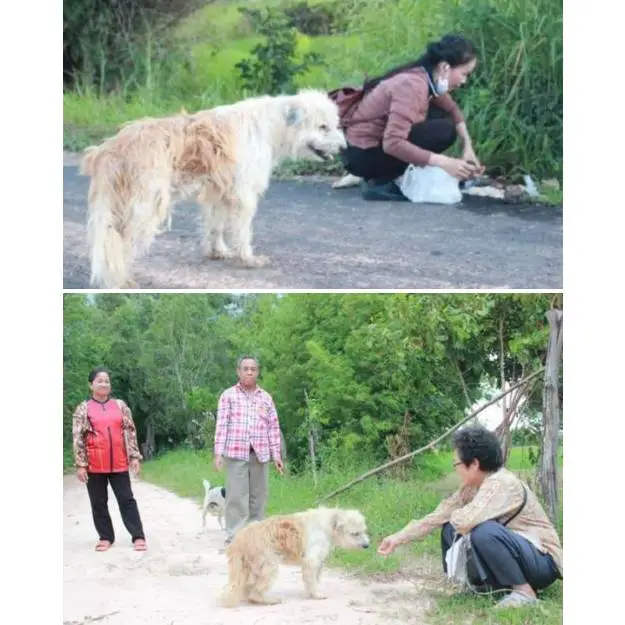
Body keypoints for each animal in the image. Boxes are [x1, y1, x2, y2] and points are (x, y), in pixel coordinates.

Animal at [79, 89, 346, 288]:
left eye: (332, 125)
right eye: (323, 127)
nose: (344, 148)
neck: (271, 126)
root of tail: (110, 148)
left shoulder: (219, 193)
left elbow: (215, 226)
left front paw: (217, 252)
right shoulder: (244, 196)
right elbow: (242, 231)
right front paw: (248, 258)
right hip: (146, 206)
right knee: (121, 242)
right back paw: (121, 281)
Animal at [218, 508, 368, 604]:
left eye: (364, 531)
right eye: (355, 533)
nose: (367, 546)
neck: (327, 524)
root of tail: (240, 539)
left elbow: (312, 579)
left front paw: (311, 593)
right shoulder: (311, 560)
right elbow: (312, 579)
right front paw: (316, 595)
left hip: (249, 567)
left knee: (247, 587)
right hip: (268, 564)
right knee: (256, 590)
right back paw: (265, 600)